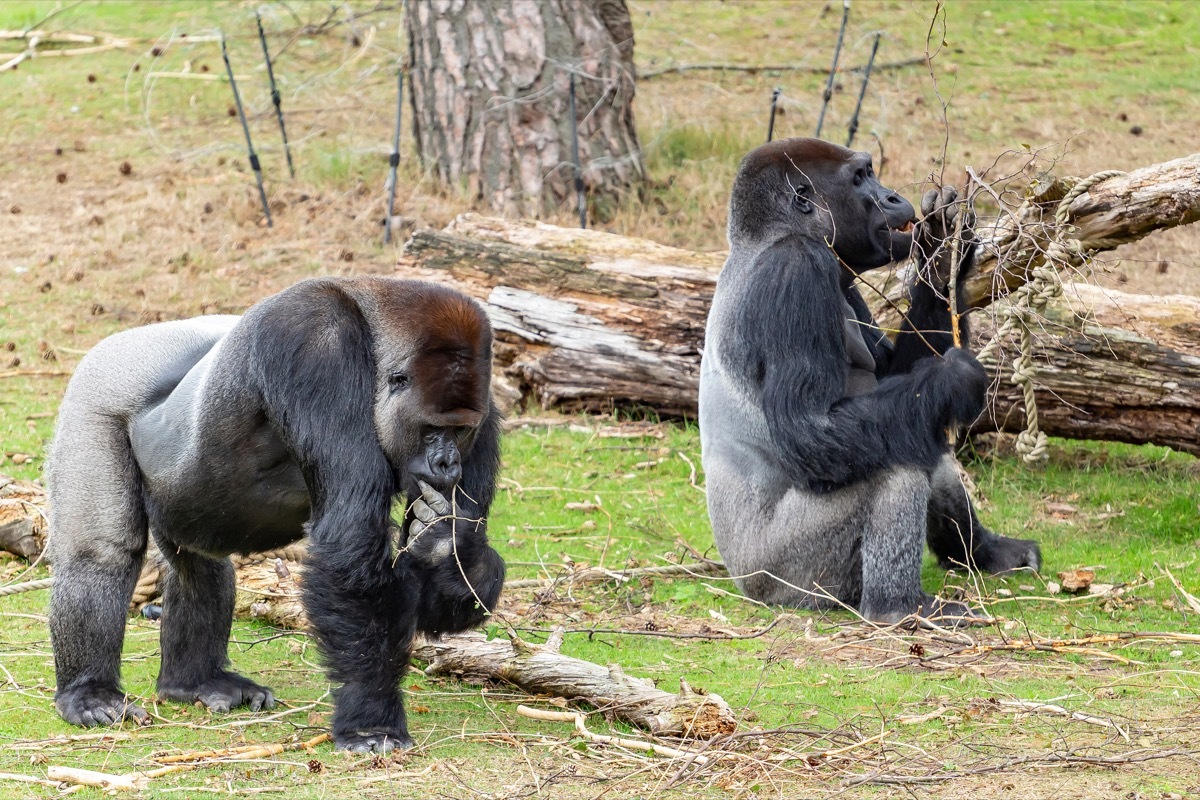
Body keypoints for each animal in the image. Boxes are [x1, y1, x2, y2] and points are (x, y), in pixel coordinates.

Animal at [46, 275, 504, 753]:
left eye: (460, 430)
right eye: (433, 429)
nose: (447, 464)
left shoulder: (485, 412)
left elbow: (442, 600)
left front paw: (445, 545)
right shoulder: (316, 344)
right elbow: (350, 542)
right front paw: (371, 719)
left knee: (201, 567)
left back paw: (193, 682)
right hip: (102, 385)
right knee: (102, 553)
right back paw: (89, 692)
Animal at [700, 139, 1041, 623]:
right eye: (860, 178)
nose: (893, 196)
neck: (770, 237)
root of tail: (744, 584)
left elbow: (898, 384)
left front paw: (940, 256)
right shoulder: (796, 269)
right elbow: (810, 430)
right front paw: (954, 379)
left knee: (907, 428)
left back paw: (983, 553)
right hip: (789, 578)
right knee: (892, 463)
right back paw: (897, 607)